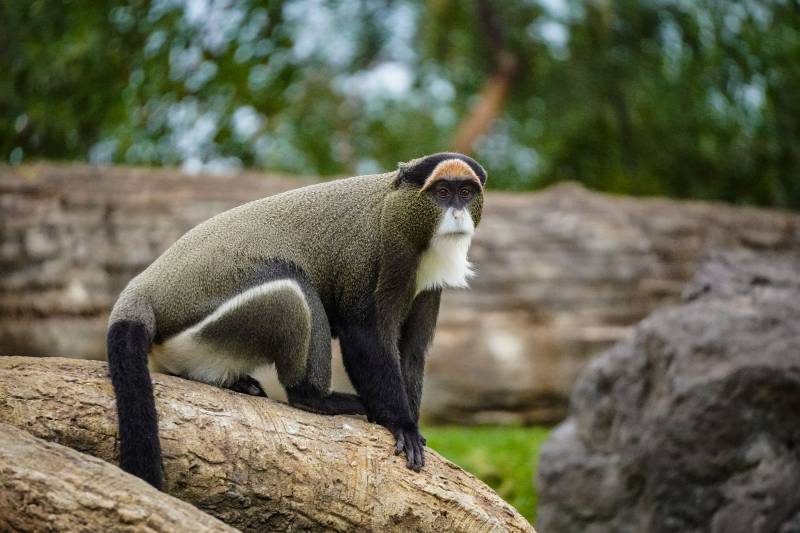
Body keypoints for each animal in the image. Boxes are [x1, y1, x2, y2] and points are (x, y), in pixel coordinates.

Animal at [107, 150, 488, 486]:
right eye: (442, 193)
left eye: (465, 193)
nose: (457, 213)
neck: (400, 214)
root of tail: (145, 288)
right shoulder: (370, 254)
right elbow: (363, 335)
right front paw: (401, 424)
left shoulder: (427, 287)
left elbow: (411, 350)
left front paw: (412, 425)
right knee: (294, 288)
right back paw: (316, 397)